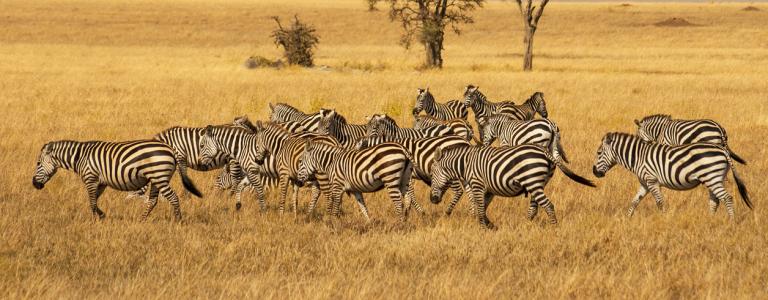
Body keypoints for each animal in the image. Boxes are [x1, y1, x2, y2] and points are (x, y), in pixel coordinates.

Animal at [33, 140, 201, 220]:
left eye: (38, 163)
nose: (34, 184)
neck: (80, 157)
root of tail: (171, 150)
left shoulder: (90, 178)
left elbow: (92, 201)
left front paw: (97, 219)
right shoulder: (100, 182)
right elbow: (94, 201)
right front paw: (101, 215)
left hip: (159, 177)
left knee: (173, 197)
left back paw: (178, 221)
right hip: (156, 178)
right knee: (153, 201)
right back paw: (141, 220)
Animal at [432, 144, 592, 227]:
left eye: (432, 175)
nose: (432, 200)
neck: (465, 164)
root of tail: (544, 151)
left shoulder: (477, 184)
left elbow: (480, 207)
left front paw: (482, 227)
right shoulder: (489, 190)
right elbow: (482, 208)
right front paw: (489, 226)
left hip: (533, 181)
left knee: (548, 205)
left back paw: (554, 227)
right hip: (538, 183)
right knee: (534, 207)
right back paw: (527, 225)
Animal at [592, 132, 752, 219]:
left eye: (599, 153)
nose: (594, 172)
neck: (638, 156)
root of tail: (722, 150)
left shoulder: (651, 180)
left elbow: (659, 202)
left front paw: (664, 219)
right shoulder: (644, 183)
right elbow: (635, 201)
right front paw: (627, 218)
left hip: (712, 177)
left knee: (727, 198)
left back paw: (731, 222)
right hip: (714, 179)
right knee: (715, 200)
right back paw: (710, 219)